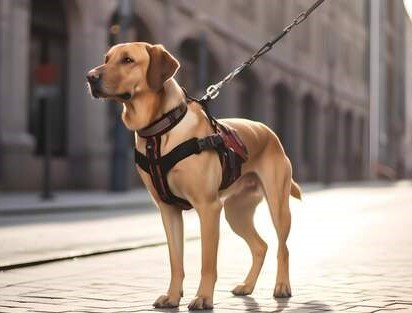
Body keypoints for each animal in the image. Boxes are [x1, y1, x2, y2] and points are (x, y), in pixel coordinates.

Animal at [87, 42, 300, 310]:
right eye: (107, 58)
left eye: (127, 60)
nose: (90, 77)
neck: (159, 132)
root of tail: (269, 132)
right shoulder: (168, 210)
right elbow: (175, 261)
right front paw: (172, 296)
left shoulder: (208, 208)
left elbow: (207, 263)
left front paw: (203, 297)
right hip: (236, 213)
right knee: (261, 246)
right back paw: (248, 286)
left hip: (277, 207)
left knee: (284, 248)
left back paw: (282, 286)